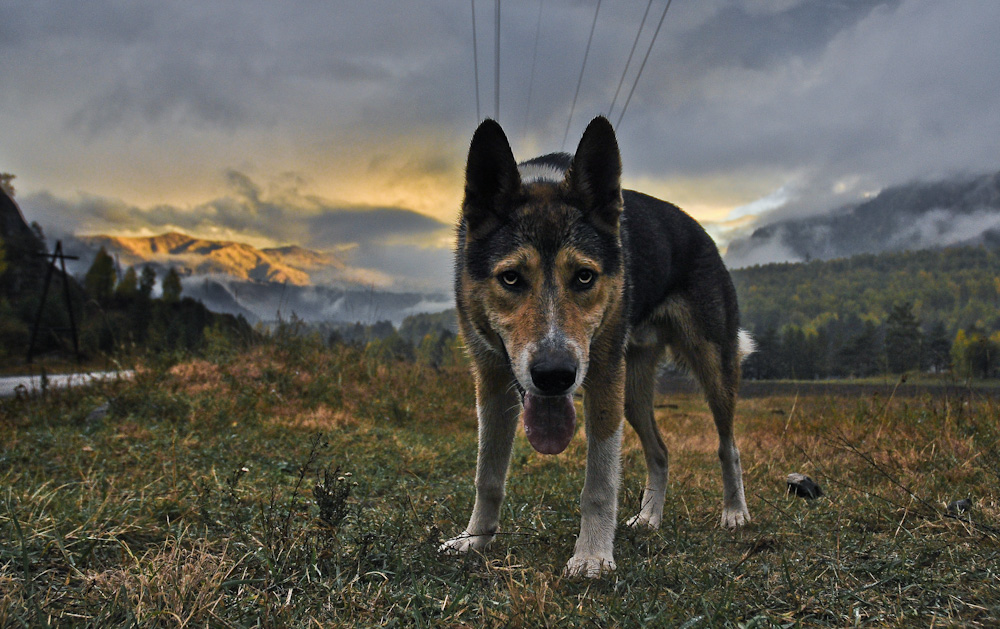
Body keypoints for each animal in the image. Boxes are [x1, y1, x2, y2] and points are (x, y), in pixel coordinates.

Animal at [442, 115, 752, 576]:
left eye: (584, 276)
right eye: (511, 278)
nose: (554, 376)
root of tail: (701, 231)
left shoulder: (604, 377)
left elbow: (600, 484)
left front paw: (592, 556)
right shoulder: (493, 380)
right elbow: (488, 476)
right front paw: (474, 540)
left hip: (711, 365)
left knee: (727, 444)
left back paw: (734, 512)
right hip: (633, 391)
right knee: (660, 452)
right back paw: (649, 517)